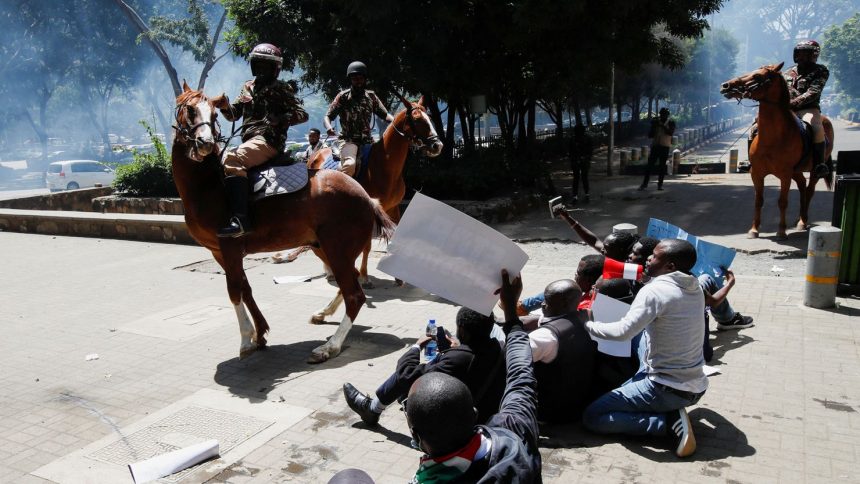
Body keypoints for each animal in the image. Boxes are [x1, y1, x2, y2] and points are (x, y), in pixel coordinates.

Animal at [310, 96, 444, 288]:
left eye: (430, 119)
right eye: (418, 119)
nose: (437, 145)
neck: (384, 166)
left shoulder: (393, 208)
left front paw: (397, 276)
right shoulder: (371, 211)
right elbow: (367, 245)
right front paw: (364, 277)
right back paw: (330, 269)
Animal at [720, 62, 832, 240]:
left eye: (757, 76)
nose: (726, 86)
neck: (773, 138)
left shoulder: (785, 174)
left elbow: (782, 201)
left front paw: (781, 231)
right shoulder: (757, 173)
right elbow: (758, 200)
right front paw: (754, 229)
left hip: (813, 171)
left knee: (809, 190)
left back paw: (803, 221)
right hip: (796, 171)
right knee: (802, 185)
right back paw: (799, 218)